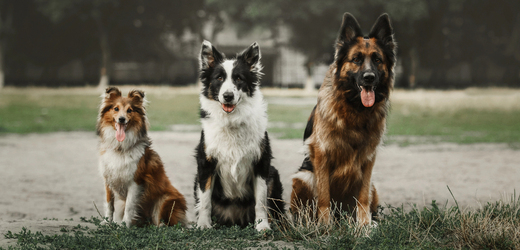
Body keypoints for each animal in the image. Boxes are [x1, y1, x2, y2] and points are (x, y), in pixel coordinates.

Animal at [97, 87, 187, 227]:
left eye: (129, 110)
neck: (120, 148)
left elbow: (129, 206)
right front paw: (107, 223)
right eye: (116, 108)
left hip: (165, 199)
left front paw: (124, 226)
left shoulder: (136, 181)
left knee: (165, 222)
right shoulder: (108, 179)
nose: (121, 119)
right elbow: (109, 204)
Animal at [194, 40, 284, 230]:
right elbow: (205, 200)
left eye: (239, 79)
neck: (232, 121)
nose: (228, 96)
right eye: (219, 78)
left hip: (274, 174)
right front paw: (203, 224)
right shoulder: (205, 163)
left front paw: (262, 226)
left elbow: (261, 200)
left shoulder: (262, 162)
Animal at [290, 12, 396, 226]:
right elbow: (323, 195)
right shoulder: (321, 154)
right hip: (303, 177)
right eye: (356, 59)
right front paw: (324, 225)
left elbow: (363, 197)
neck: (355, 109)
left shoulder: (368, 158)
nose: (369, 77)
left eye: (377, 59)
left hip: (373, 186)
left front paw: (364, 225)